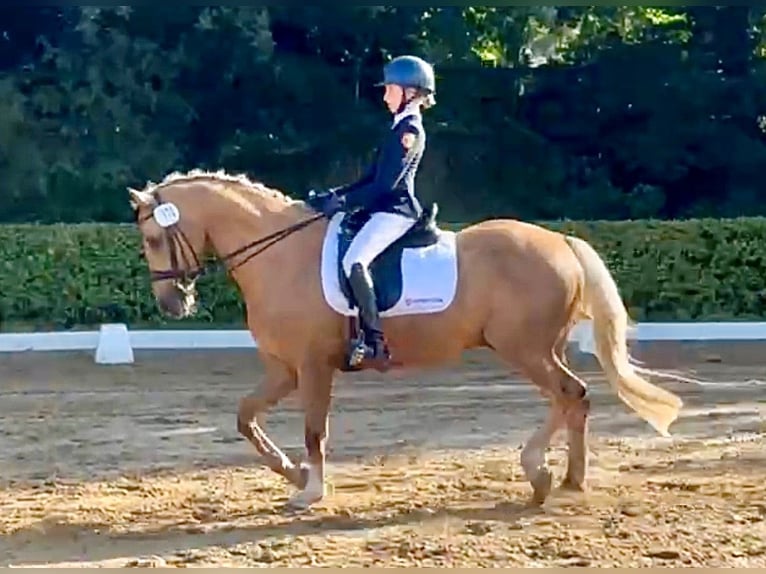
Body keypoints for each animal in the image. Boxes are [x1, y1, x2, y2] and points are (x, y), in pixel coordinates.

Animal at [127, 169, 688, 510]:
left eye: (153, 239)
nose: (173, 305)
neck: (280, 256)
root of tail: (561, 242)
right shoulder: (283, 369)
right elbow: (245, 417)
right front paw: (293, 475)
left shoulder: (313, 366)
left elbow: (315, 431)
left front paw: (312, 490)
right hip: (537, 347)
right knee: (574, 398)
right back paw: (569, 477)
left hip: (523, 348)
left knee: (571, 394)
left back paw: (541, 473)